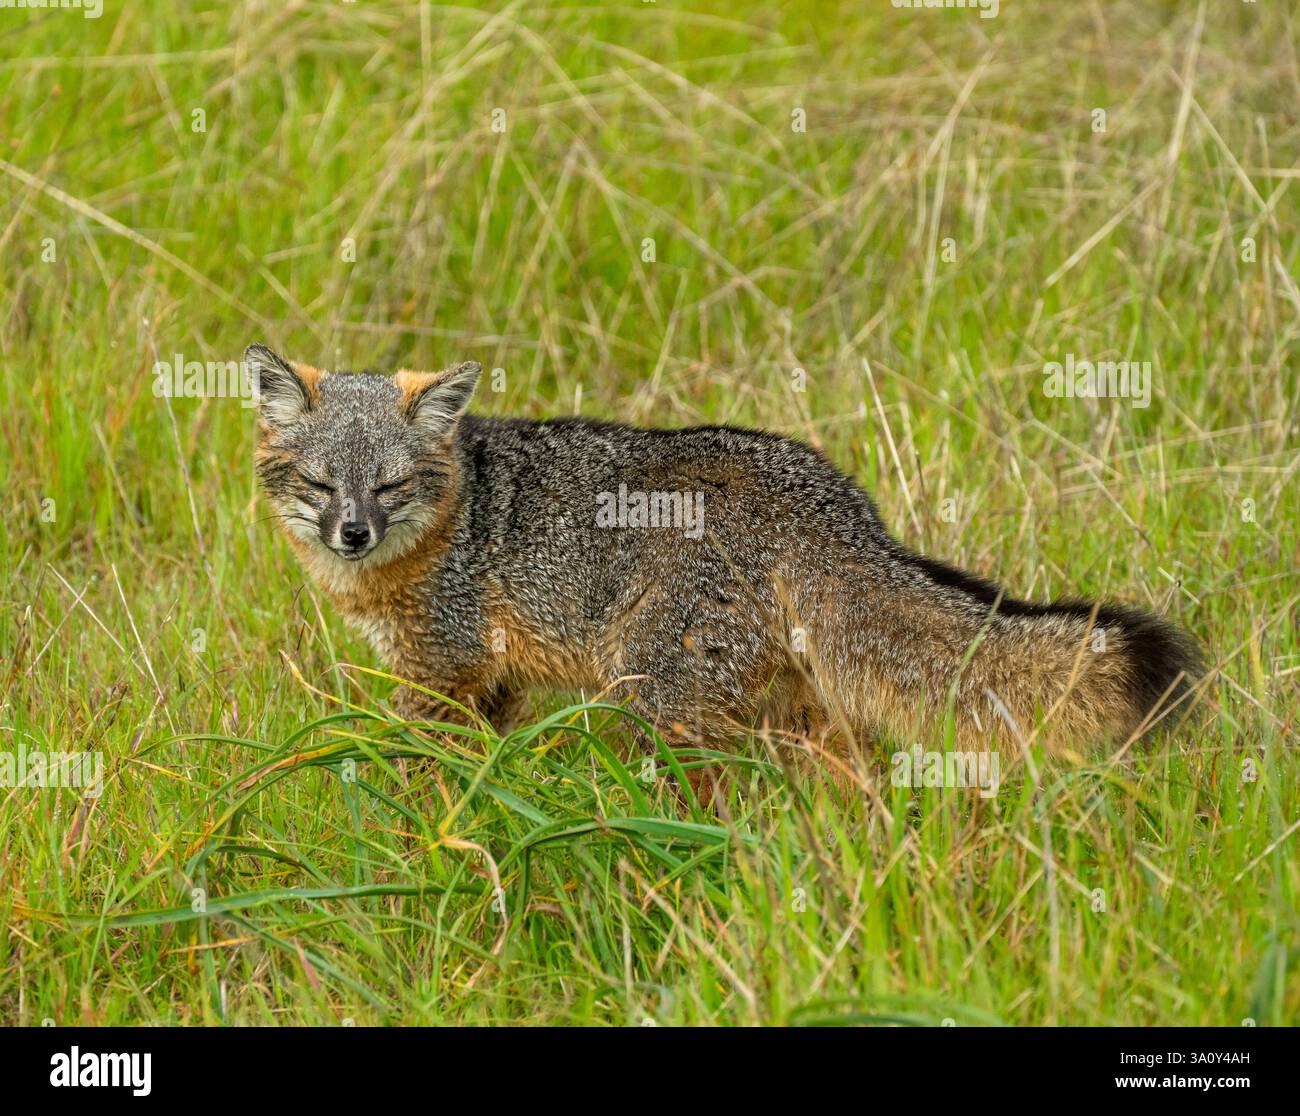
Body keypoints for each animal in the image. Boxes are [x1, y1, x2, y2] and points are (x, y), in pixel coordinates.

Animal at [248, 343, 1202, 767]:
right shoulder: (494, 679)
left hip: (655, 694)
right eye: (323, 485)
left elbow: (420, 773)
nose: (353, 533)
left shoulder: (439, 670)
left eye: (391, 486)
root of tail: (830, 500)